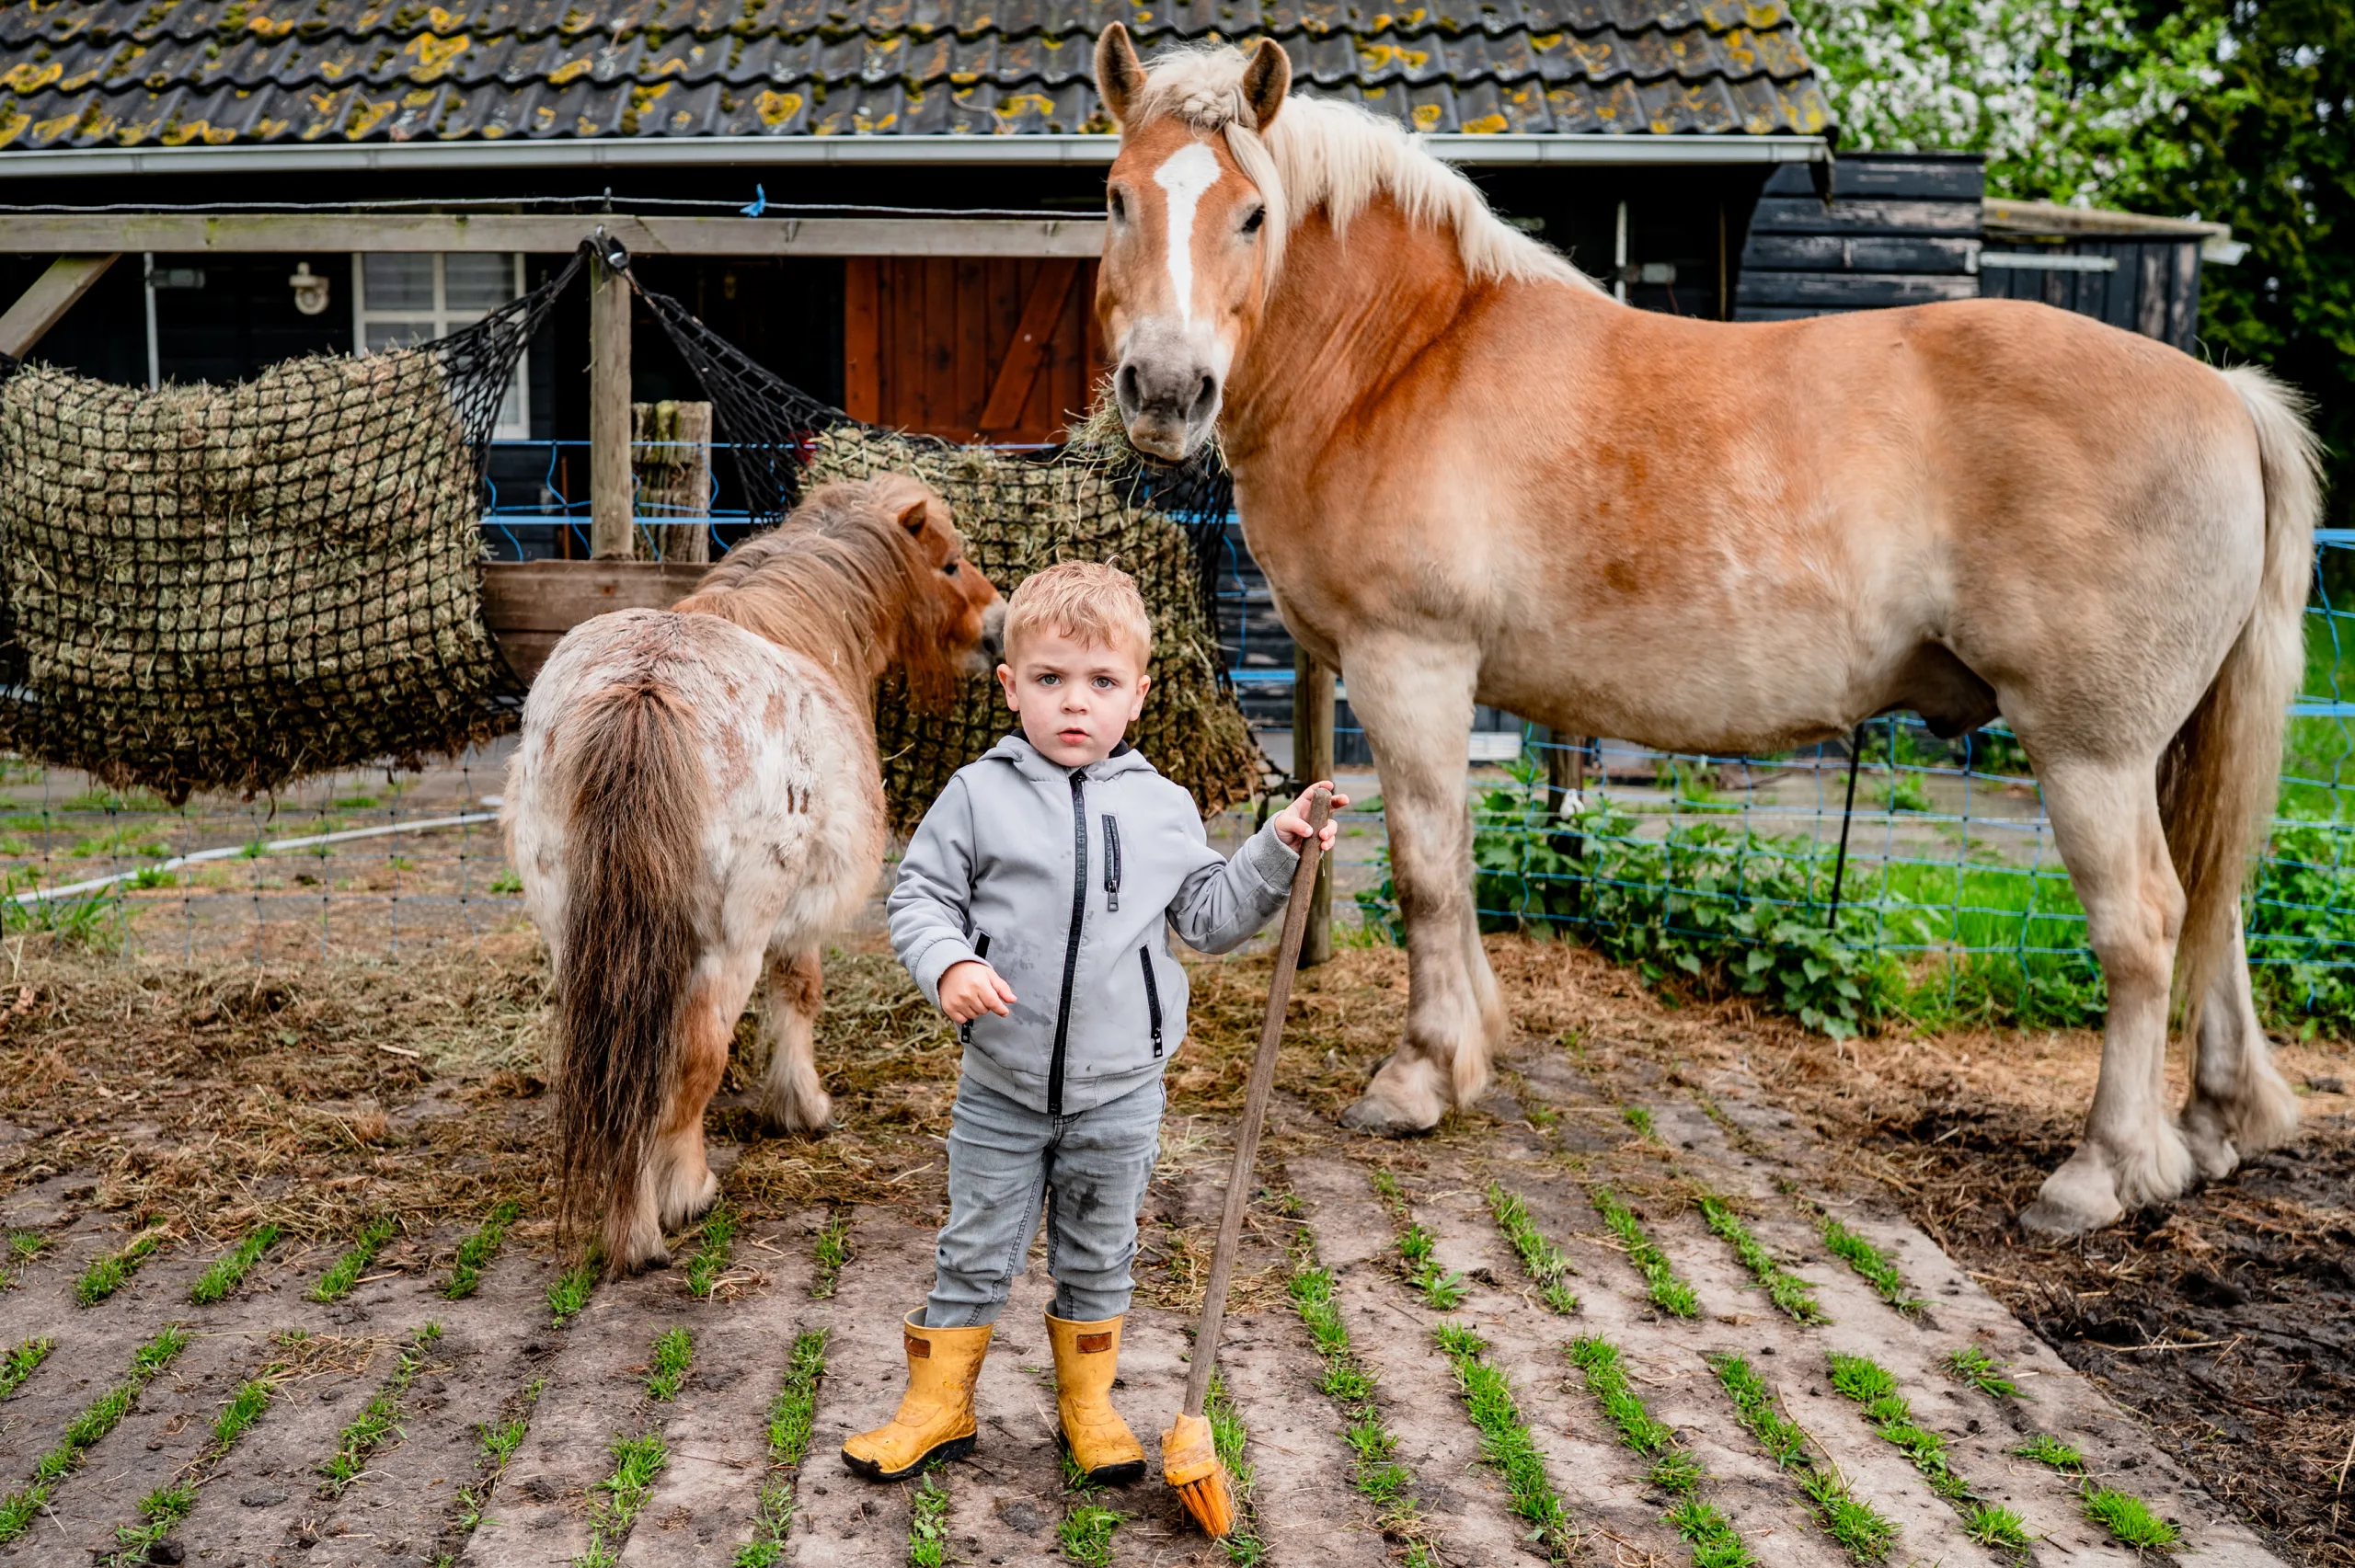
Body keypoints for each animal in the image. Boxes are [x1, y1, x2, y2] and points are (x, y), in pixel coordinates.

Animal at [502, 475, 1003, 1273]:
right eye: (951, 564)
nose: (1000, 622)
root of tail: (646, 691)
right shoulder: (802, 914)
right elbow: (800, 992)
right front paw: (802, 1107)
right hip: (727, 944)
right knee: (692, 1058)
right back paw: (671, 1205)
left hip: (574, 936)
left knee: (618, 1063)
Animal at [1088, 26, 2323, 1236]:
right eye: (1116, 197)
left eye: (1252, 212)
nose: (1164, 392)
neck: (1405, 357)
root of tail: (2223, 395)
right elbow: (1462, 862)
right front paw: (1472, 1044)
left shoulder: (1411, 668)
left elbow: (1429, 871)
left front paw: (1420, 1076)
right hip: (2160, 751)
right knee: (2216, 905)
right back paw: (2215, 1125)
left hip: (2090, 751)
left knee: (2146, 926)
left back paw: (2100, 1174)